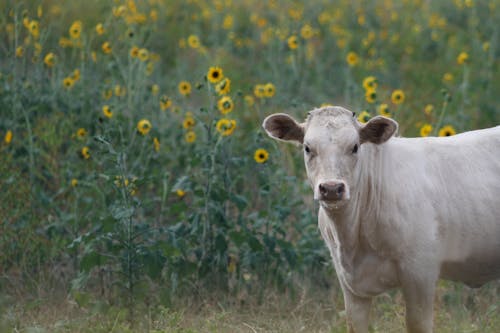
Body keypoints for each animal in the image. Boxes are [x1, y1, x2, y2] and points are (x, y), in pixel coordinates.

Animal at [262, 107, 500, 332]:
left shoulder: (421, 271)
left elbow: (417, 325)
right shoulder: (348, 282)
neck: (353, 239)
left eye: (355, 147)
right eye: (307, 147)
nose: (331, 188)